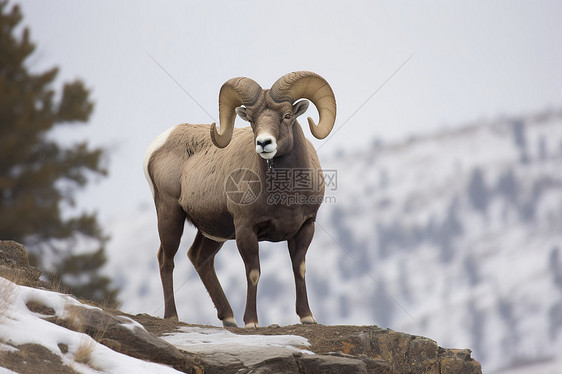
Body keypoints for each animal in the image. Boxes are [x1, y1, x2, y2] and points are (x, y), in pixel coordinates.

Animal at [144, 71, 334, 328]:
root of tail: (159, 143)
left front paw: (307, 317)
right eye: (252, 120)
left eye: (287, 115)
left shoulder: (305, 227)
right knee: (166, 259)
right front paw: (251, 322)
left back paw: (229, 318)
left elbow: (299, 269)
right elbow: (253, 273)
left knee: (199, 258)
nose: (264, 143)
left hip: (214, 232)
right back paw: (173, 316)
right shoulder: (246, 229)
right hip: (170, 214)